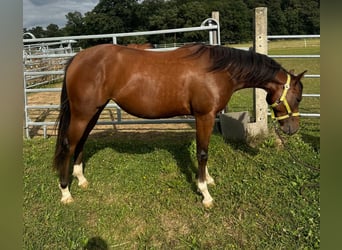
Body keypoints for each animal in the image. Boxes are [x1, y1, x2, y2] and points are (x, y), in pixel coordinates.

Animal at [52, 43, 304, 207]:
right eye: (299, 97)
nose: (292, 129)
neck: (219, 70)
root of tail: (77, 59)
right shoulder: (205, 116)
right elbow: (202, 152)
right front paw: (205, 193)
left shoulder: (204, 118)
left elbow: (202, 150)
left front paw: (207, 179)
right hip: (83, 113)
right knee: (68, 145)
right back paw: (65, 191)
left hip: (93, 112)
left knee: (80, 142)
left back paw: (81, 179)